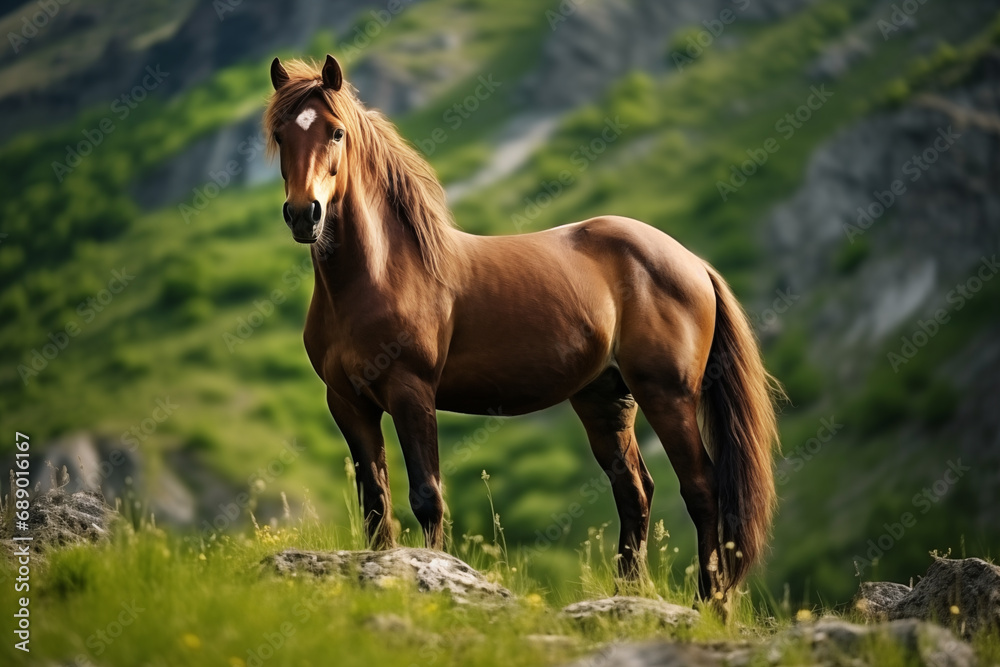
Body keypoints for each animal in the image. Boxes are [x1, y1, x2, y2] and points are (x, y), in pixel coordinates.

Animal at [264, 54, 782, 607]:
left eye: (337, 132)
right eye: (280, 132)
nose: (304, 214)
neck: (380, 272)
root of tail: (692, 263)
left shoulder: (411, 392)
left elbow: (427, 496)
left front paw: (433, 573)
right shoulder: (348, 402)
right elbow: (375, 502)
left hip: (669, 395)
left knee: (702, 489)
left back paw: (711, 605)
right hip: (605, 399)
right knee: (635, 490)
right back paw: (629, 596)